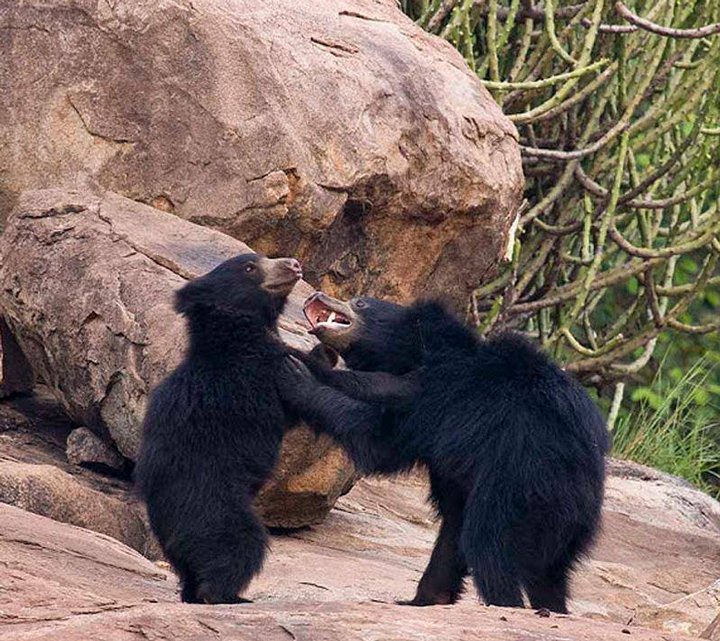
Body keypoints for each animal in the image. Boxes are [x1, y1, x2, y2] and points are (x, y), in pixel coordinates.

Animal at [135, 253, 307, 604]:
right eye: (250, 267)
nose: (294, 264)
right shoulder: (256, 373)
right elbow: (293, 396)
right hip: (216, 509)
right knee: (239, 545)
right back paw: (227, 595)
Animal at [278, 292, 610, 613]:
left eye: (360, 302)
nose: (315, 295)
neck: (418, 354)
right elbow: (451, 527)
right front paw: (425, 599)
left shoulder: (440, 401)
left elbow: (377, 435)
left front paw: (298, 374)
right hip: (564, 528)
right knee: (548, 575)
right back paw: (551, 608)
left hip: (518, 490)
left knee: (488, 545)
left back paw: (505, 604)